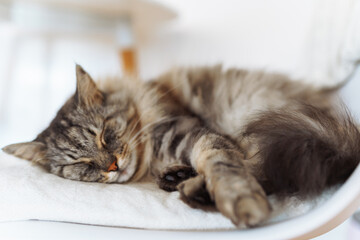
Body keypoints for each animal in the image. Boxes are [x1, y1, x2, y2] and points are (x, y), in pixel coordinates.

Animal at [2, 64, 360, 228]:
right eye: (81, 165)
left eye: (103, 135)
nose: (112, 166)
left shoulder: (193, 135)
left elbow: (224, 168)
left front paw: (241, 203)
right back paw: (181, 181)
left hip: (262, 127)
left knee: (267, 172)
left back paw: (193, 187)